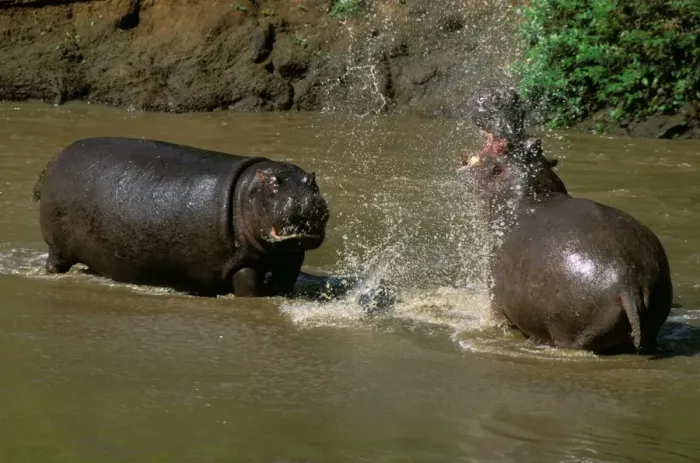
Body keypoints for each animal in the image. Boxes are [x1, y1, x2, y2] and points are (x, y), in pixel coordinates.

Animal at [33, 136, 389, 306]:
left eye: (311, 182)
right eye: (274, 183)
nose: (304, 198)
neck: (248, 190)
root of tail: (54, 158)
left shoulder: (291, 257)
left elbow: (285, 282)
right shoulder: (241, 264)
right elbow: (249, 287)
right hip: (57, 247)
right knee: (55, 263)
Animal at [458, 89, 672, 354]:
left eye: (504, 147)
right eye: (535, 143)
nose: (506, 97)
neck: (528, 194)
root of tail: (628, 282)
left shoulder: (495, 299)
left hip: (568, 334)